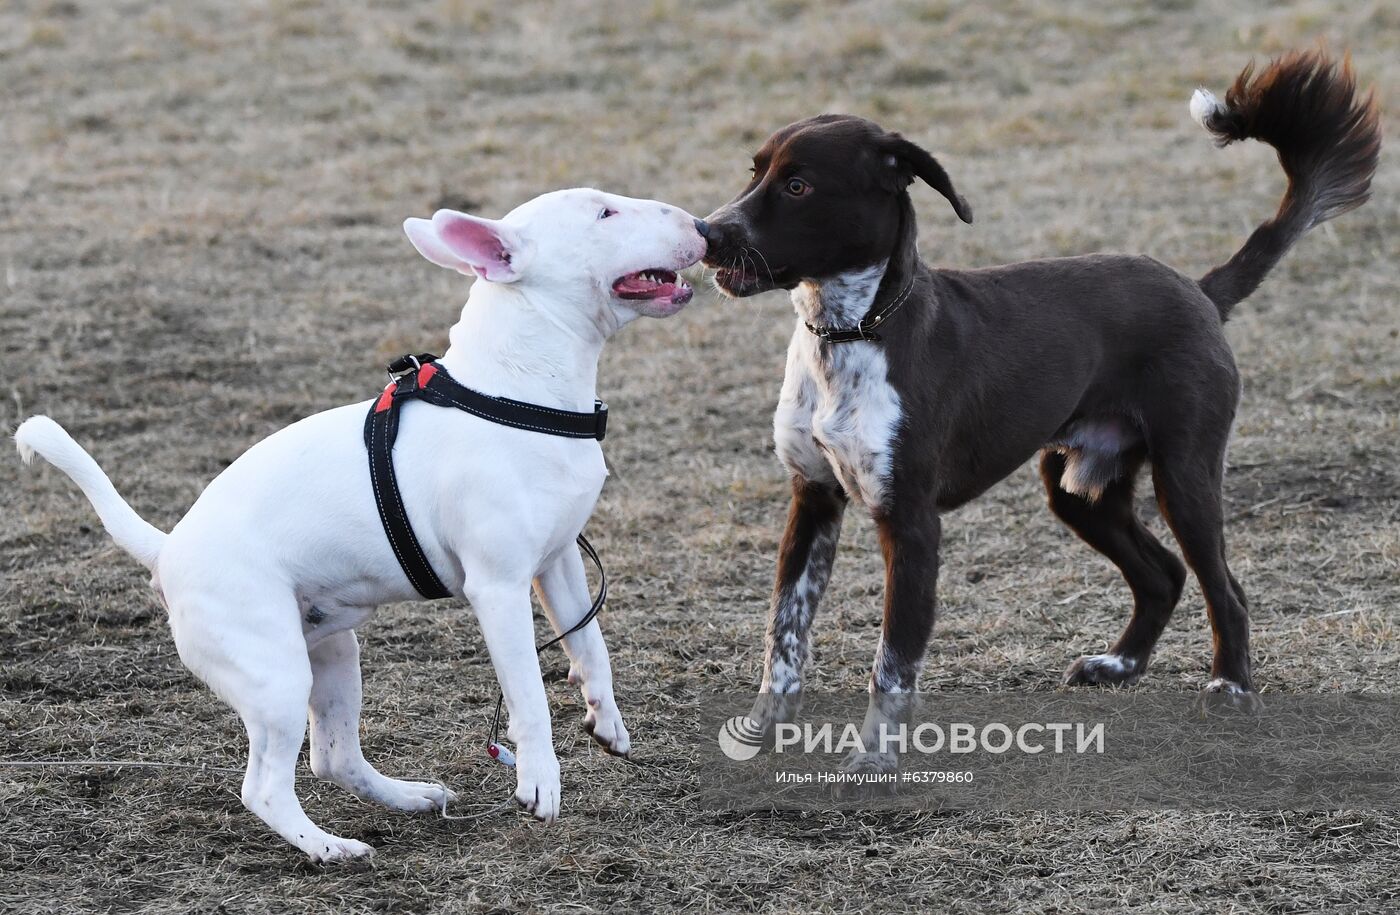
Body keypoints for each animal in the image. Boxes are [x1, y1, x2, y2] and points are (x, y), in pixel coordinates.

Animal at [12, 190, 711, 861]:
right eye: (605, 212)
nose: (702, 225)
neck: (517, 390)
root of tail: (167, 550)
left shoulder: (559, 561)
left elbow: (590, 647)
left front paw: (608, 724)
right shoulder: (499, 589)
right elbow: (529, 698)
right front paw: (540, 782)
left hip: (332, 655)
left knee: (334, 758)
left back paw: (410, 797)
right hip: (275, 675)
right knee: (265, 786)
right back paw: (331, 849)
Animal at [700, 50, 1377, 710]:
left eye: (798, 185)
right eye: (754, 171)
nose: (708, 233)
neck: (848, 332)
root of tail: (1200, 290)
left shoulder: (910, 521)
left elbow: (891, 669)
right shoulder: (812, 500)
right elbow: (784, 640)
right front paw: (765, 730)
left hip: (1185, 473)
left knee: (1224, 588)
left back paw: (1231, 685)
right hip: (1079, 489)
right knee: (1163, 575)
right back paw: (1118, 664)